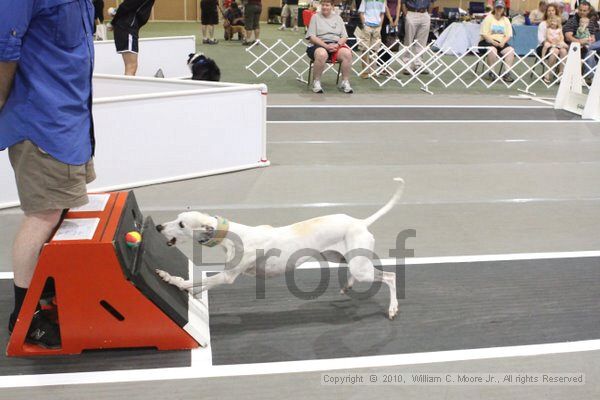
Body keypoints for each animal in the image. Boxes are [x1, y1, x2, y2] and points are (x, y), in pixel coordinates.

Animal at [157, 178, 406, 318]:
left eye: (182, 224)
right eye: (176, 218)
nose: (158, 226)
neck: (232, 234)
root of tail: (360, 222)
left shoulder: (227, 277)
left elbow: (193, 282)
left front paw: (170, 279)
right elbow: (198, 283)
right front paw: (182, 285)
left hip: (360, 267)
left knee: (390, 277)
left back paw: (393, 308)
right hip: (342, 258)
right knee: (361, 274)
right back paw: (348, 286)